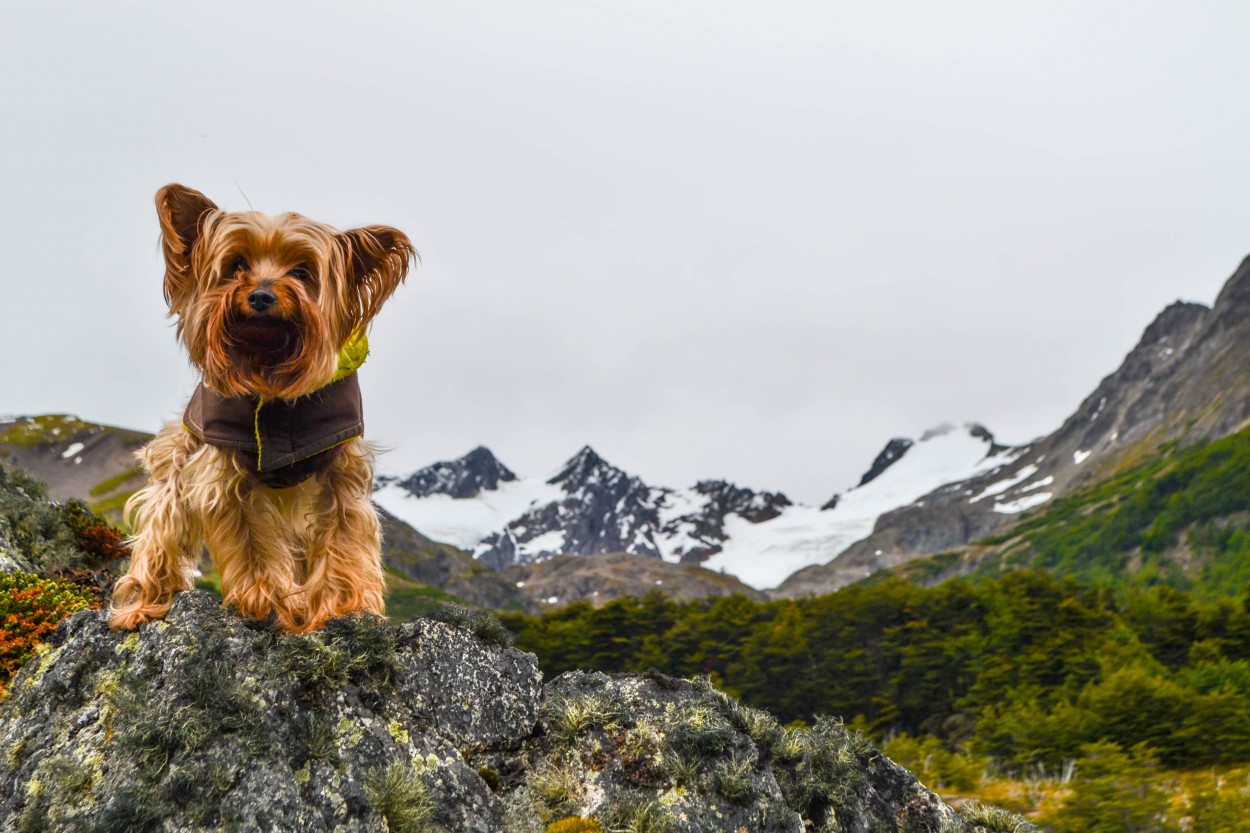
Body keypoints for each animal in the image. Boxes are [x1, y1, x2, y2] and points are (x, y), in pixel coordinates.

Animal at [110, 185, 417, 632]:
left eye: (303, 272)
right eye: (237, 264)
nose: (260, 295)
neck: (270, 380)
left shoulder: (340, 475)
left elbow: (343, 541)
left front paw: (343, 608)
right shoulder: (225, 475)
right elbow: (251, 543)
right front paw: (264, 600)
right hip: (177, 467)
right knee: (160, 534)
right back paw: (142, 603)